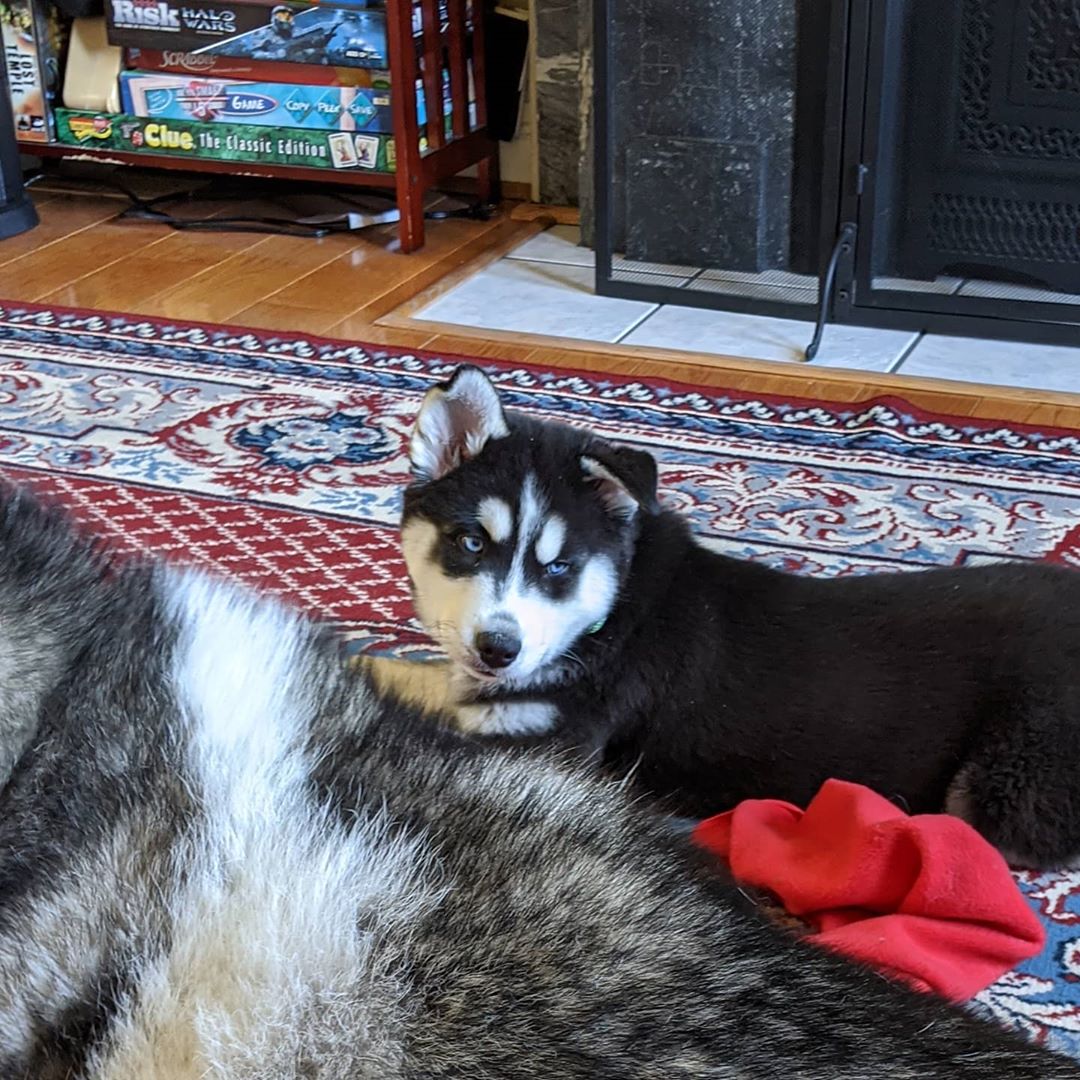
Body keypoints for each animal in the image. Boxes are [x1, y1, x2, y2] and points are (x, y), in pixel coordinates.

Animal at [393, 369, 1080, 868]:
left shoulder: (538, 747)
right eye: (470, 543)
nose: (497, 648)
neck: (609, 616)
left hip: (1005, 786)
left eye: (560, 567)